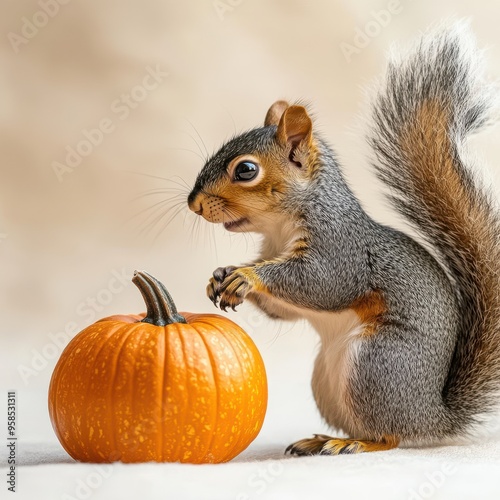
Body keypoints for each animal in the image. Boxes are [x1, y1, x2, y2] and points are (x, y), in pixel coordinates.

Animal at [187, 28, 500, 458]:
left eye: (246, 170)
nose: (193, 203)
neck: (280, 227)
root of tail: (434, 416)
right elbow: (282, 310)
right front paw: (220, 275)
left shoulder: (340, 249)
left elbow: (322, 284)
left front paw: (247, 276)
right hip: (327, 379)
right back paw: (320, 439)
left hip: (376, 366)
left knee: (390, 437)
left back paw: (351, 443)